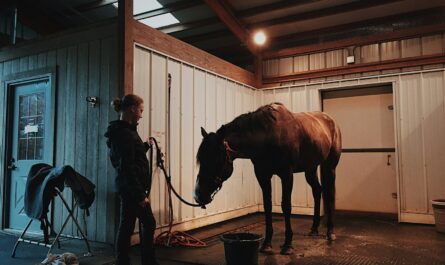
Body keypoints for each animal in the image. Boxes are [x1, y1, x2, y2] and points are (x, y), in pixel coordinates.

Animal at [193, 101, 342, 254]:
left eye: (216, 159)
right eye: (200, 159)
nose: (198, 195)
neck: (268, 136)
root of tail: (332, 122)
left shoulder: (286, 174)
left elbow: (286, 206)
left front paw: (288, 244)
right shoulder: (262, 175)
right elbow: (267, 205)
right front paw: (267, 244)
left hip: (329, 167)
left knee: (330, 193)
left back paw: (330, 232)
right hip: (310, 168)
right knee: (317, 191)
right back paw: (314, 229)